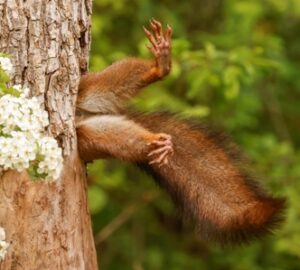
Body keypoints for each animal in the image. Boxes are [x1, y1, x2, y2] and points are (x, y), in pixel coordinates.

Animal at [75, 19, 286, 245]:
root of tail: (82, 116)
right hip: (88, 137)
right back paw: (157, 143)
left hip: (85, 89)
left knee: (109, 83)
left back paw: (160, 67)